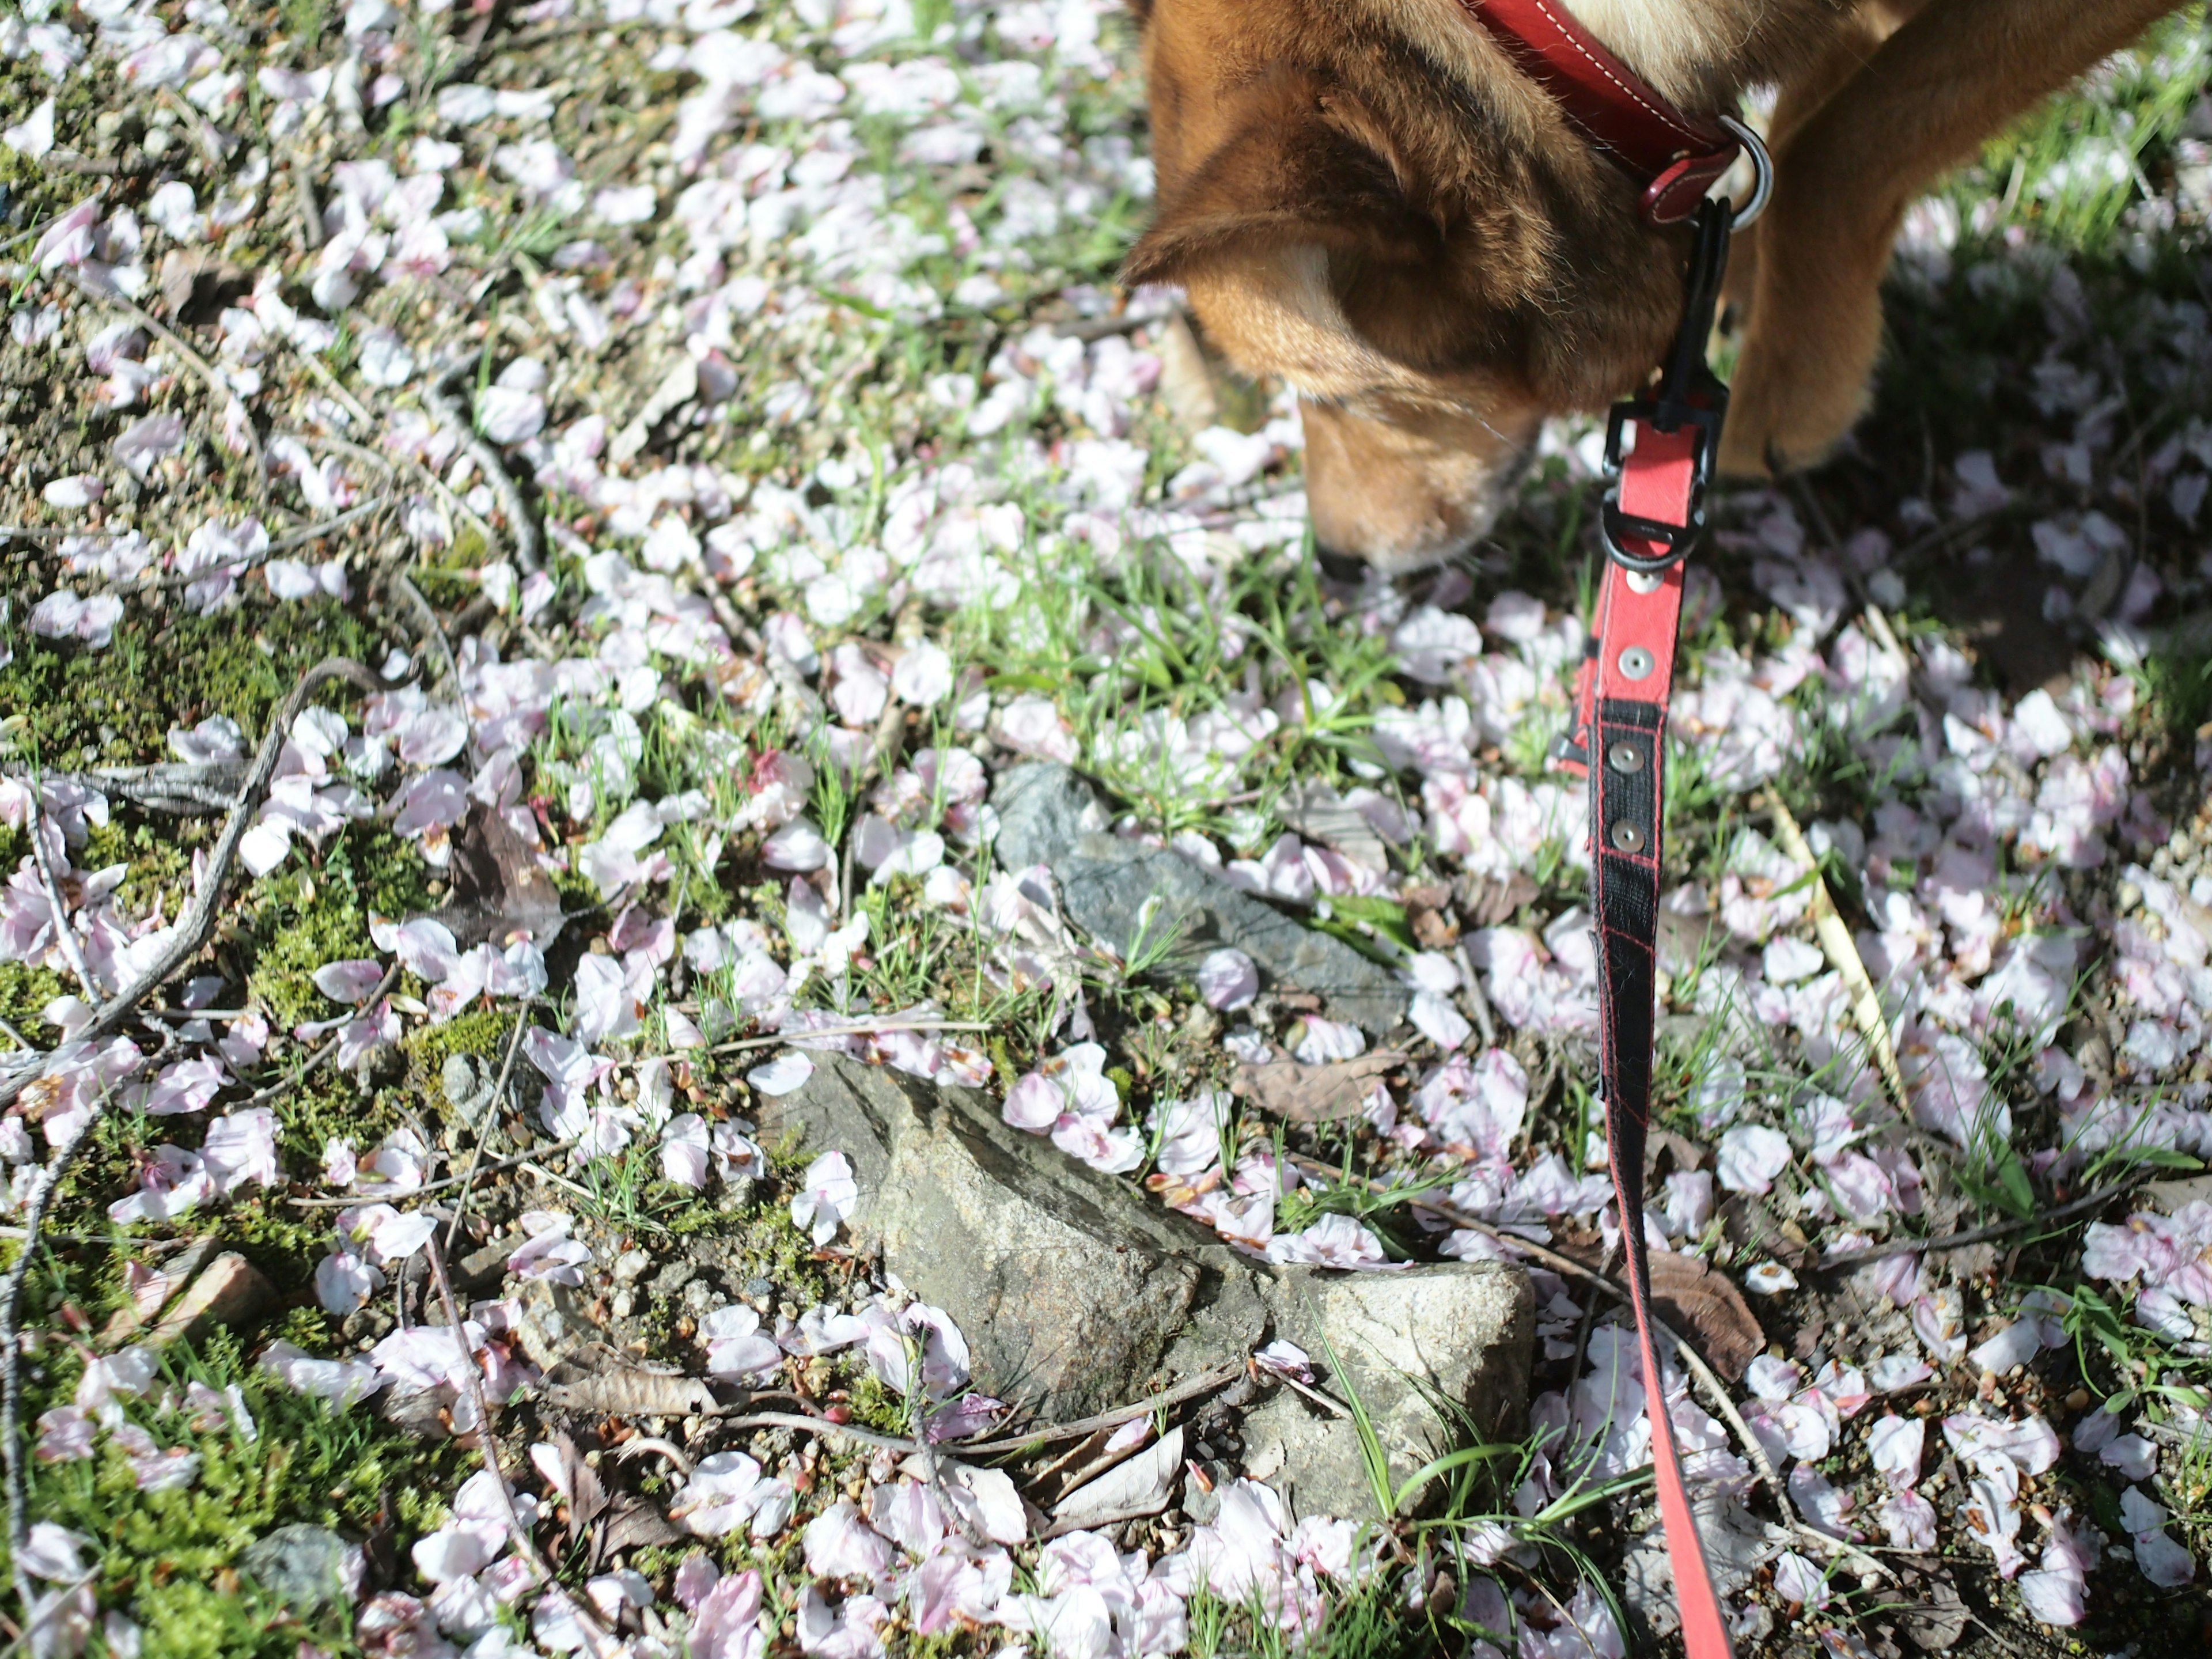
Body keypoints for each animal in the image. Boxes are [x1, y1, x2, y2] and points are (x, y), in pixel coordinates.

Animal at [1132, 0, 2168, 570]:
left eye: (1343, 396)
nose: (1339, 567)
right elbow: (1809, 114)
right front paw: (1740, 271)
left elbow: (1842, 143)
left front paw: (1797, 379)